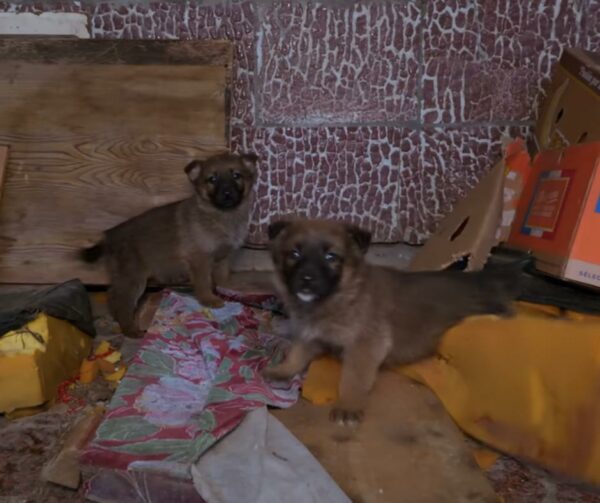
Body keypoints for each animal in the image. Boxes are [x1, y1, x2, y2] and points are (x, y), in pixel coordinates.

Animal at [80, 152, 258, 336]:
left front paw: (226, 292)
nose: (227, 193)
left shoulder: (223, 258)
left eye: (236, 175)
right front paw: (209, 299)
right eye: (212, 179)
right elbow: (204, 283)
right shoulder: (200, 260)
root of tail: (110, 234)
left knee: (113, 297)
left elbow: (222, 278)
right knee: (122, 303)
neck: (221, 215)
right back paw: (131, 330)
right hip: (132, 277)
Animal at [264, 220, 524, 426]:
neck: (341, 296)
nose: (307, 280)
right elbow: (297, 354)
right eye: (294, 254)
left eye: (331, 257)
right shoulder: (311, 334)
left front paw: (349, 405)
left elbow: (353, 378)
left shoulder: (366, 345)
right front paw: (283, 370)